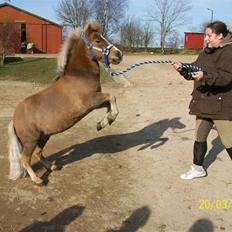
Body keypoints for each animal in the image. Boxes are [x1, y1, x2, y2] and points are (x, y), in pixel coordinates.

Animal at [7, 21, 123, 185]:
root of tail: (14, 119)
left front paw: (103, 123)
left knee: (38, 153)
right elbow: (112, 97)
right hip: (30, 141)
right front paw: (106, 121)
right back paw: (37, 180)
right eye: (98, 40)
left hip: (44, 137)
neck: (79, 76)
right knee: (25, 158)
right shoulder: (90, 101)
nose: (119, 54)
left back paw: (52, 167)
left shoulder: (95, 102)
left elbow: (109, 103)